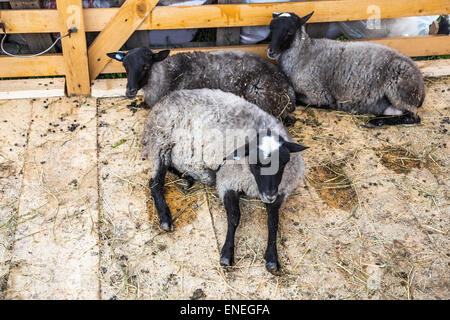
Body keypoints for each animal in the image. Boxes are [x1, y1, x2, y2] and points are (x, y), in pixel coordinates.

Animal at [142, 89, 308, 274]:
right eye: (256, 163)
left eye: (284, 162)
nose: (269, 195)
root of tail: (165, 98)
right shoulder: (228, 180)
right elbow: (234, 217)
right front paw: (227, 254)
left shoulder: (280, 193)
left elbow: (273, 223)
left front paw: (272, 258)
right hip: (162, 142)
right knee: (155, 183)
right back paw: (165, 218)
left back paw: (187, 177)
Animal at [268, 11, 428, 126]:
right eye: (271, 28)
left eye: (290, 31)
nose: (271, 51)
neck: (304, 53)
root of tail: (421, 87)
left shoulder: (318, 94)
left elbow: (299, 99)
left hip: (399, 91)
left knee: (413, 117)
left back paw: (376, 121)